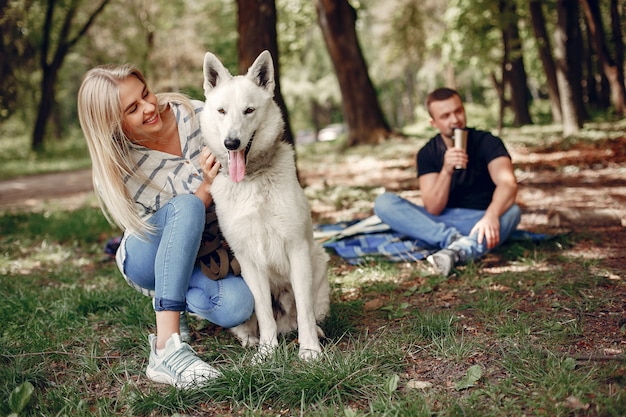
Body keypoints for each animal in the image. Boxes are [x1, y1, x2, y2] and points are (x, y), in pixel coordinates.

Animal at [200, 50, 330, 360]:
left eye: (249, 110)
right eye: (221, 111)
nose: (231, 143)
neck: (251, 179)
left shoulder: (297, 249)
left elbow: (304, 310)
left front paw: (309, 350)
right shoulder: (247, 260)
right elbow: (263, 313)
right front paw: (267, 352)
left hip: (318, 261)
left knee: (306, 314)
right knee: (252, 323)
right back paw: (252, 340)